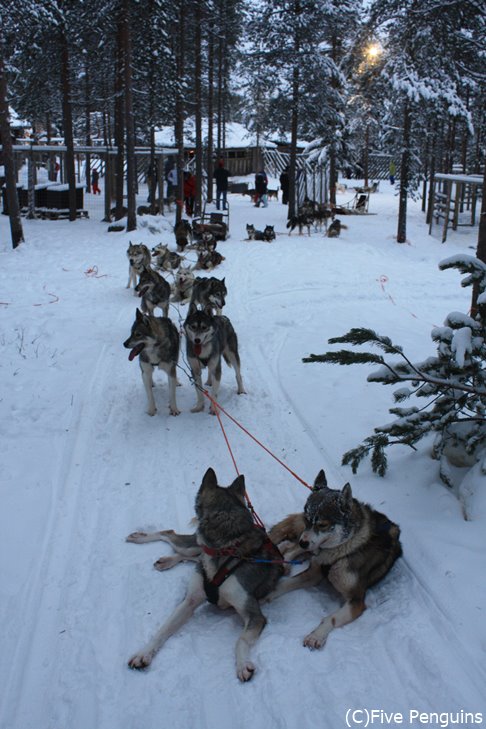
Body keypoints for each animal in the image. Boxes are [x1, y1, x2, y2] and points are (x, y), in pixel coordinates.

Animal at [126, 470, 284, 680]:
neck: (226, 548)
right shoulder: (189, 601)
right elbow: (162, 630)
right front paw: (143, 653)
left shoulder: (254, 614)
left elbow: (240, 640)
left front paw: (242, 664)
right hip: (193, 545)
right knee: (170, 534)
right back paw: (142, 539)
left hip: (195, 548)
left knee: (184, 550)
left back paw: (167, 560)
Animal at [266, 472, 402, 648]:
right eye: (307, 519)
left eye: (322, 524)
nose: (304, 542)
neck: (343, 549)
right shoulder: (313, 572)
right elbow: (285, 584)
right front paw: (267, 594)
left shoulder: (356, 601)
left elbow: (331, 618)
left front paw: (316, 635)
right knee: (291, 546)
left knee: (291, 546)